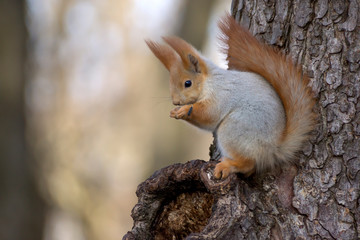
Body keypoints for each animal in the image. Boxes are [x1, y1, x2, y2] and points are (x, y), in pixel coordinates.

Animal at [146, 13, 316, 178]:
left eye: (188, 83)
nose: (176, 102)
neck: (210, 81)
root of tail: (274, 147)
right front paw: (175, 111)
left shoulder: (222, 93)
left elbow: (210, 115)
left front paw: (184, 110)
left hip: (234, 129)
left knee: (249, 163)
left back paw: (228, 166)